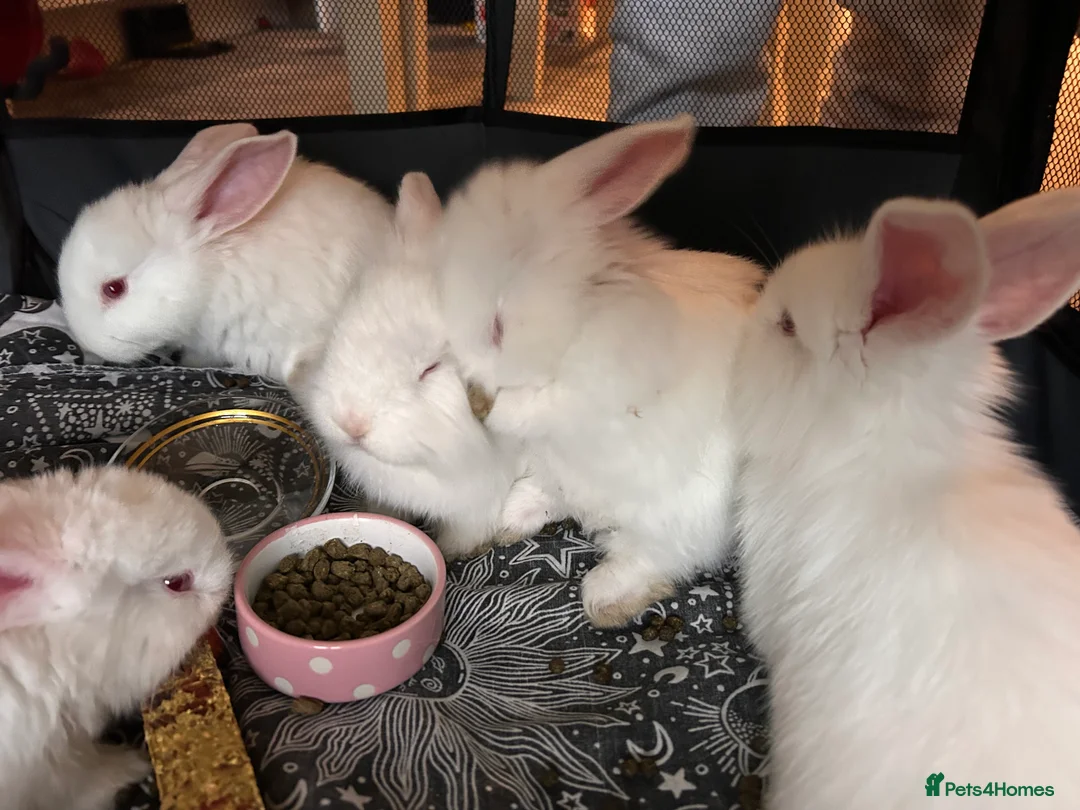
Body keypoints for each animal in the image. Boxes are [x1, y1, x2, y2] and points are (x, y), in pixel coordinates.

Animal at [290, 172, 561, 560]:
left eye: (431, 368)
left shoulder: (478, 504)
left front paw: (452, 553)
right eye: (342, 323)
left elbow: (464, 532)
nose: (351, 423)